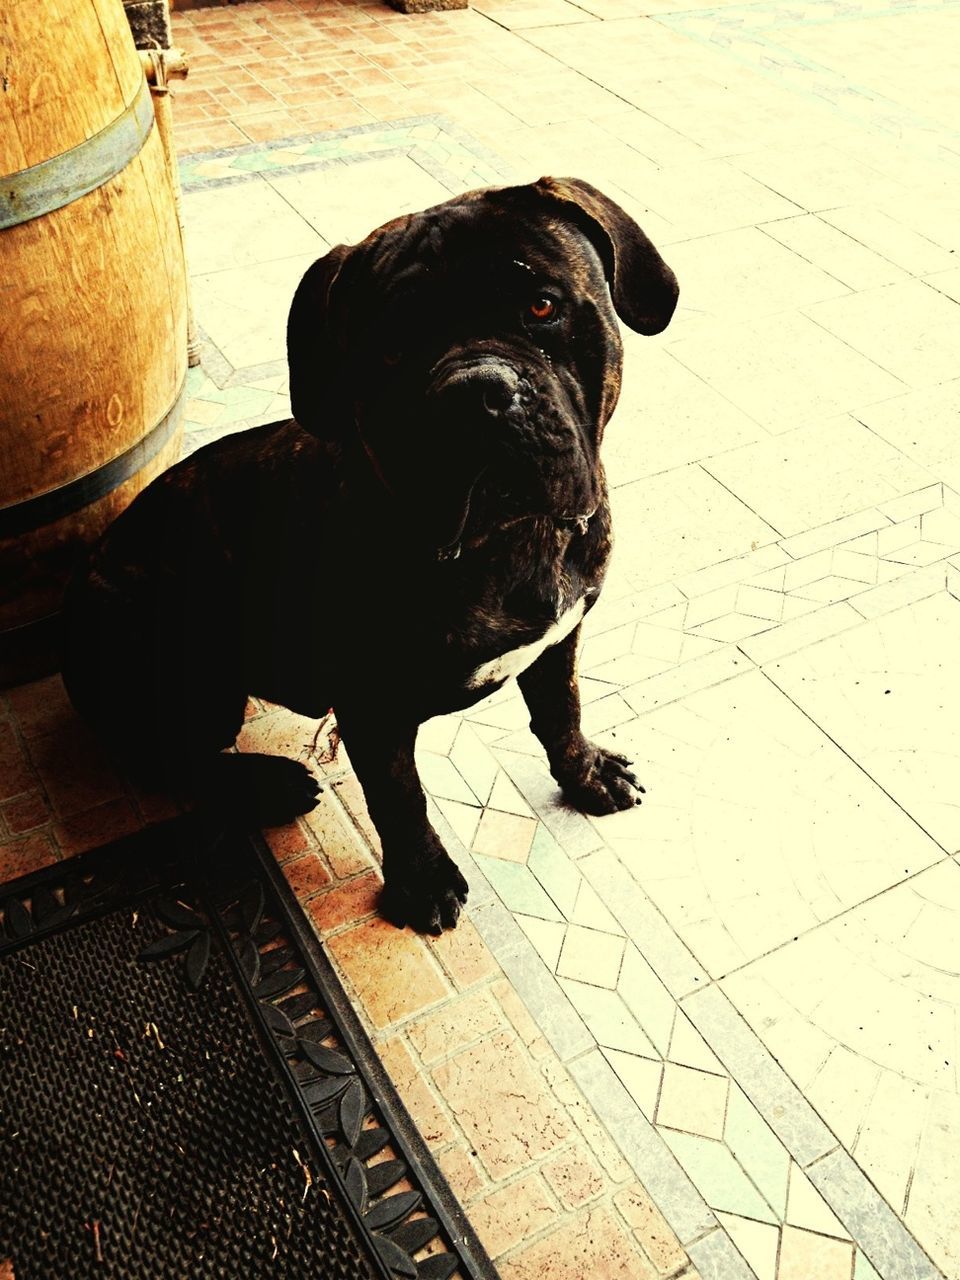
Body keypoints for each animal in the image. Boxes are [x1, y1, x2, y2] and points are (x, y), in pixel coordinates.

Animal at [62, 177, 675, 931]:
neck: (509, 541)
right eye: (391, 347)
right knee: (171, 759)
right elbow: (400, 799)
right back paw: (269, 782)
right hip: (192, 672)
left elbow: (562, 712)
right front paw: (423, 881)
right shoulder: (373, 709)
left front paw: (586, 772)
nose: (476, 389)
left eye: (542, 304)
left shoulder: (561, 638)